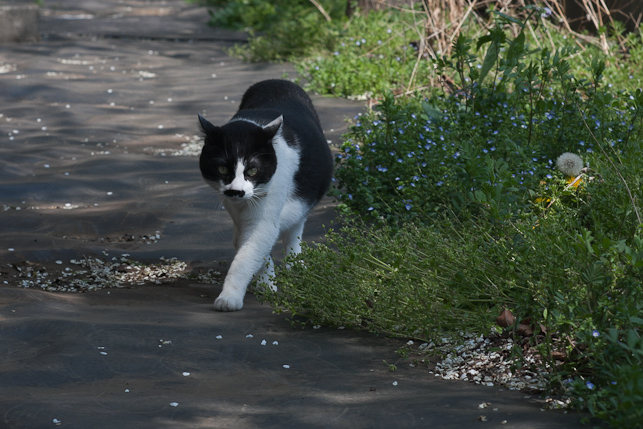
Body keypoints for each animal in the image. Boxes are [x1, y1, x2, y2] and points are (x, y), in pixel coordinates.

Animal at [199, 77, 334, 310]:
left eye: (253, 170)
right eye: (222, 169)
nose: (236, 191)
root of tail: (276, 80)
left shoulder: (264, 217)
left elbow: (247, 256)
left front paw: (230, 296)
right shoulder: (239, 214)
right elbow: (253, 248)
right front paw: (266, 282)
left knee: (295, 227)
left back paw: (294, 264)